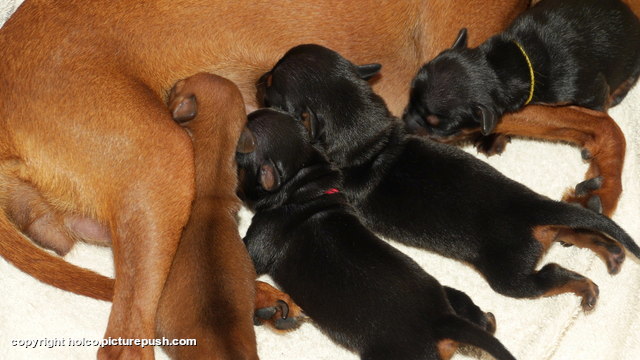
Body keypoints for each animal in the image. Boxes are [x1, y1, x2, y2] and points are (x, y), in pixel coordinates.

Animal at [255, 43, 640, 312]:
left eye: (271, 86)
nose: (256, 80)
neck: (366, 134)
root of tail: (534, 209)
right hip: (547, 223)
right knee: (572, 229)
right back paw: (609, 250)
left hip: (512, 275)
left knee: (552, 275)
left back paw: (586, 287)